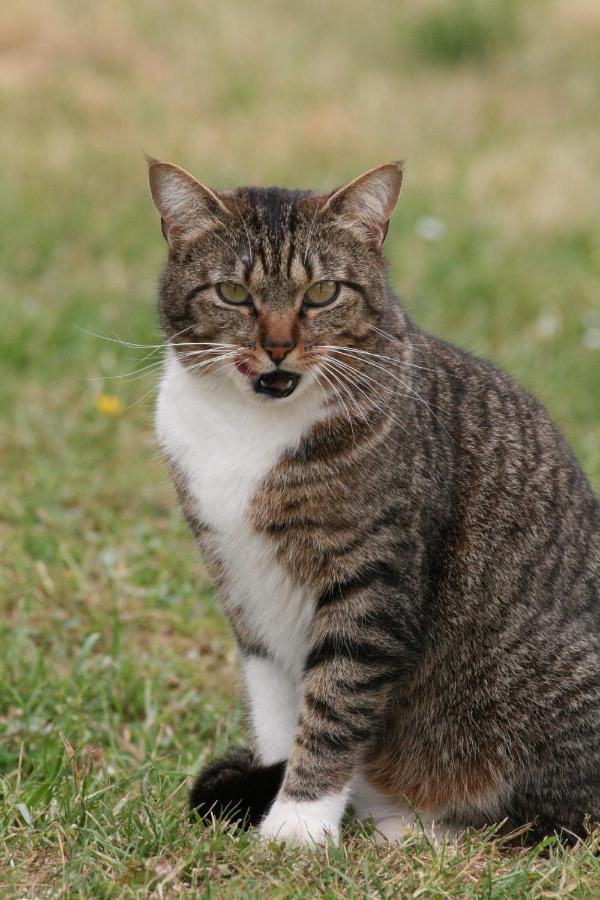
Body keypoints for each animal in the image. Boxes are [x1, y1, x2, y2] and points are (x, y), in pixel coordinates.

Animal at [146, 158, 600, 848]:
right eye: (232, 294)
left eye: (321, 294)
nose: (277, 346)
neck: (250, 429)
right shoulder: (244, 589)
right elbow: (280, 711)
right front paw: (280, 799)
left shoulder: (371, 582)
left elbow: (333, 706)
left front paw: (299, 824)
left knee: (555, 824)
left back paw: (419, 830)